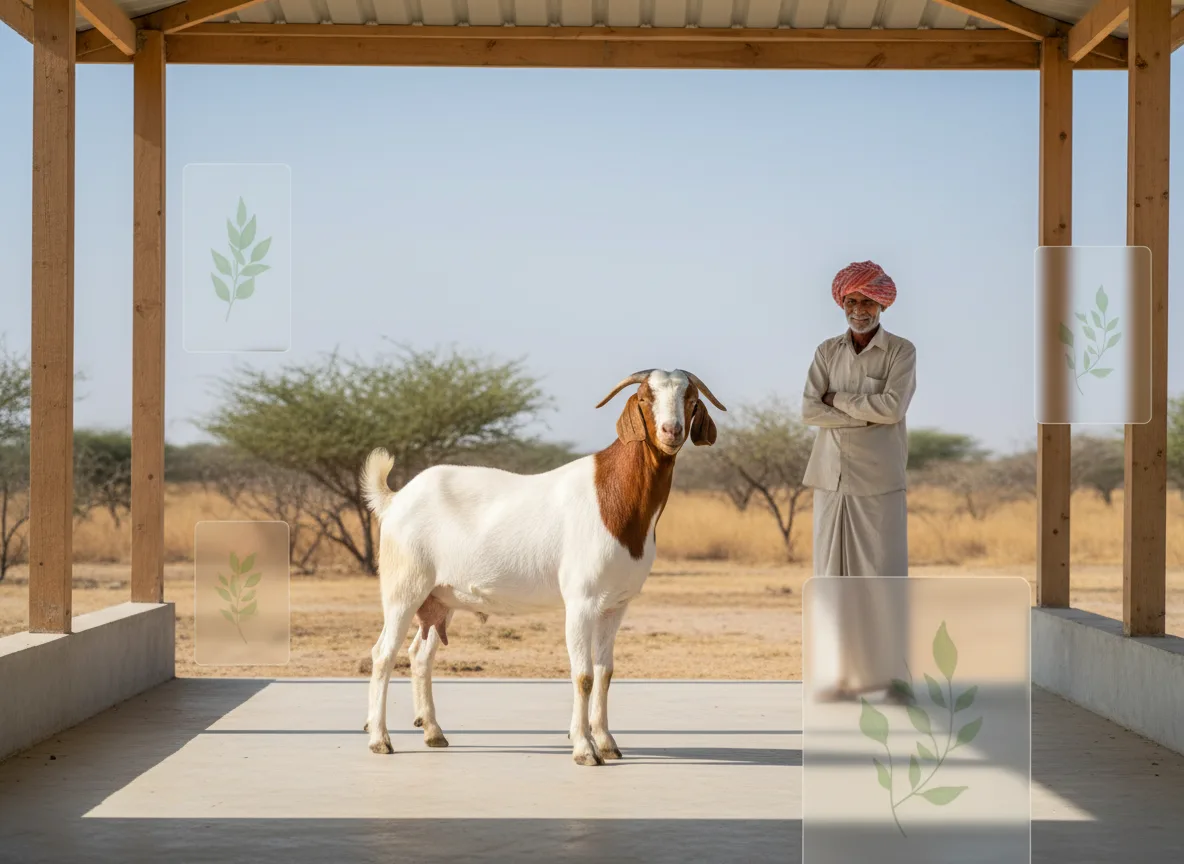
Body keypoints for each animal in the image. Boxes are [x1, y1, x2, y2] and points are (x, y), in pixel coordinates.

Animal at [360, 368, 726, 766]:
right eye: (645, 398)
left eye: (691, 400)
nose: (671, 431)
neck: (614, 497)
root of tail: (395, 499)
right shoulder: (581, 601)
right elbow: (583, 675)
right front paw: (584, 749)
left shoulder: (615, 605)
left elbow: (605, 672)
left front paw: (606, 742)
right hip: (404, 587)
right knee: (383, 654)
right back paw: (379, 739)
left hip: (440, 597)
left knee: (420, 655)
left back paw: (432, 731)